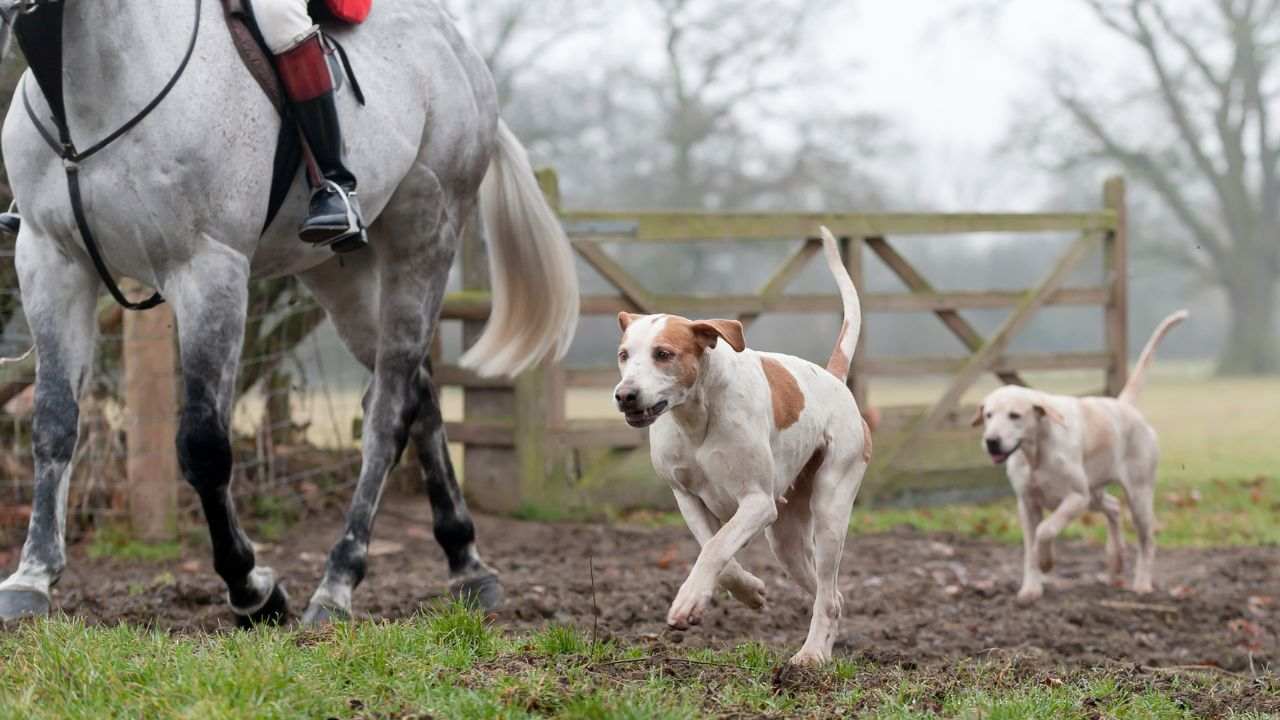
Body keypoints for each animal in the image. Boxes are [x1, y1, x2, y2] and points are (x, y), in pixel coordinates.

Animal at [0, 1, 581, 622]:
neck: (85, 88)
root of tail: (457, 47)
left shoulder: (209, 269)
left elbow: (203, 445)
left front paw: (252, 588)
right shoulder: (50, 263)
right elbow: (54, 422)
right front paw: (32, 577)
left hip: (425, 239)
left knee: (389, 413)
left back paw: (338, 581)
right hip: (339, 276)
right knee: (418, 394)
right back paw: (466, 563)